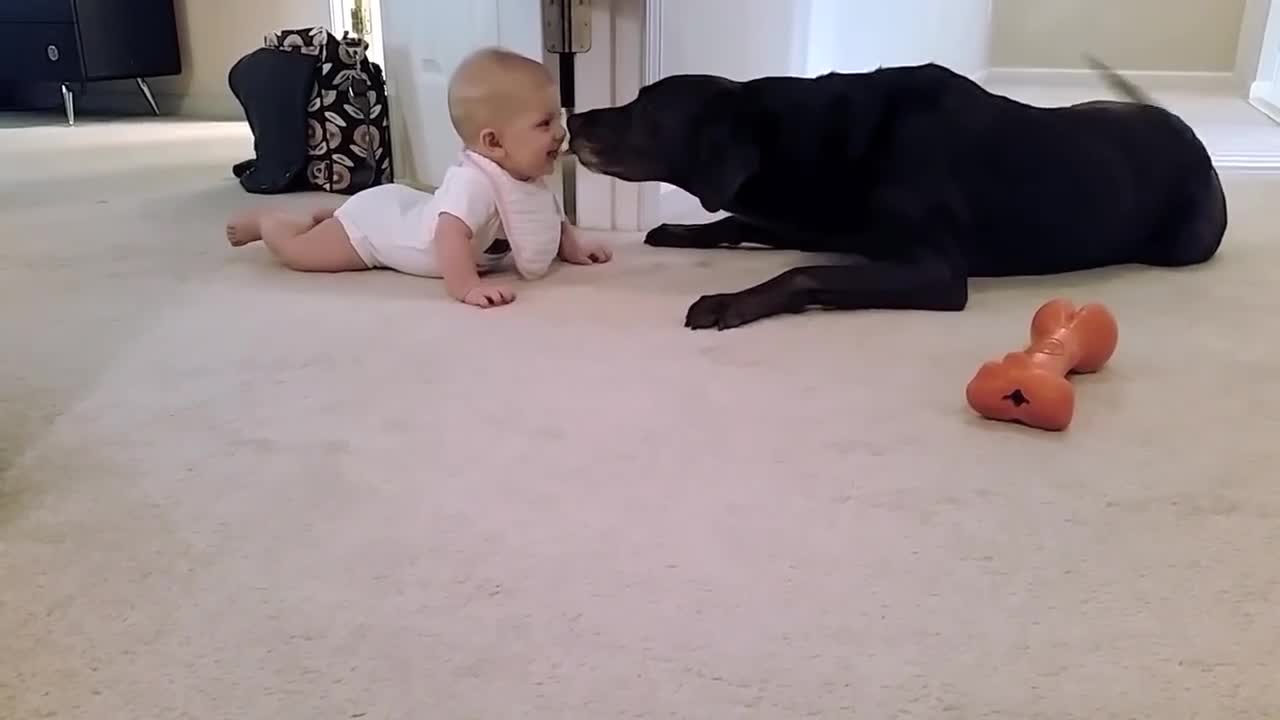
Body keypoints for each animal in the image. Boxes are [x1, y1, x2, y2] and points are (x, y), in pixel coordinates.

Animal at [565, 58, 1223, 327]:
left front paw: (730, 301)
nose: (574, 118)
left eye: (644, 108)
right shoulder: (816, 215)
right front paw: (680, 230)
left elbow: (802, 271)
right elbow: (738, 223)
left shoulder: (937, 271)